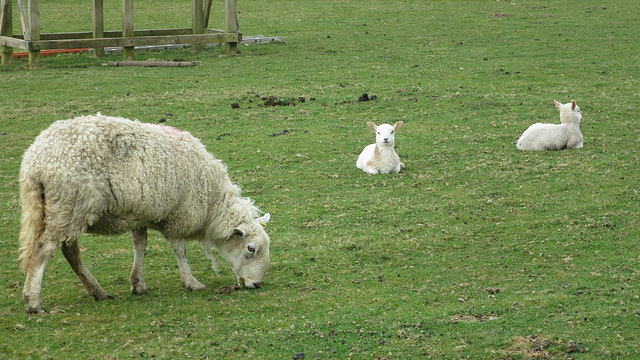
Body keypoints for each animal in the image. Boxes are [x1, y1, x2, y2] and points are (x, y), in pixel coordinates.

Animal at [16, 112, 272, 312]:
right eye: (251, 249)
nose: (257, 284)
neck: (211, 202)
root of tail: (35, 161)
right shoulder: (178, 214)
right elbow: (179, 249)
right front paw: (191, 282)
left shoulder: (139, 214)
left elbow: (140, 245)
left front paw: (137, 283)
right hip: (70, 204)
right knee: (43, 249)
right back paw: (34, 302)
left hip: (61, 207)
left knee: (69, 250)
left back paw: (97, 291)